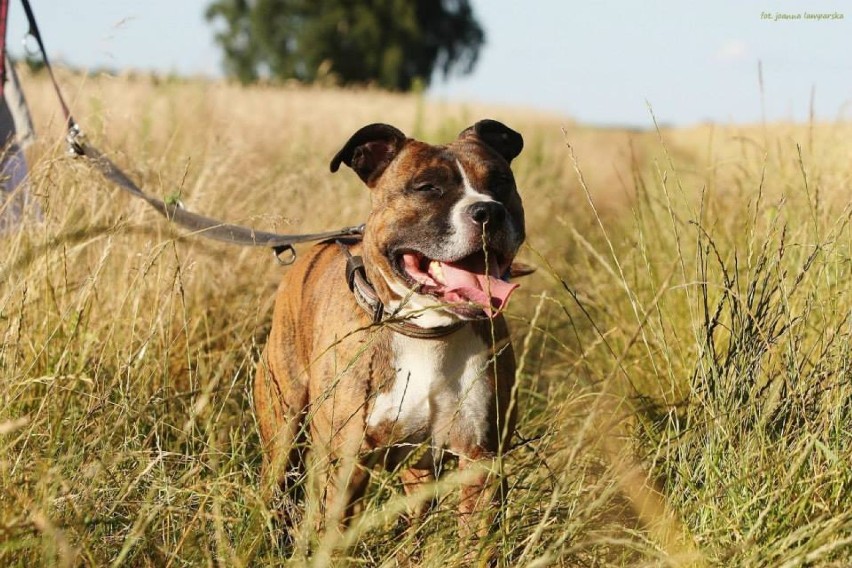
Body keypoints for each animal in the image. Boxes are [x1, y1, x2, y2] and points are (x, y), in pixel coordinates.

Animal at [255, 120, 524, 552]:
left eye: (501, 181)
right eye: (427, 187)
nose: (488, 211)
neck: (427, 332)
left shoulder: (480, 460)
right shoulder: (346, 464)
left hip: (418, 467)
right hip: (283, 431)